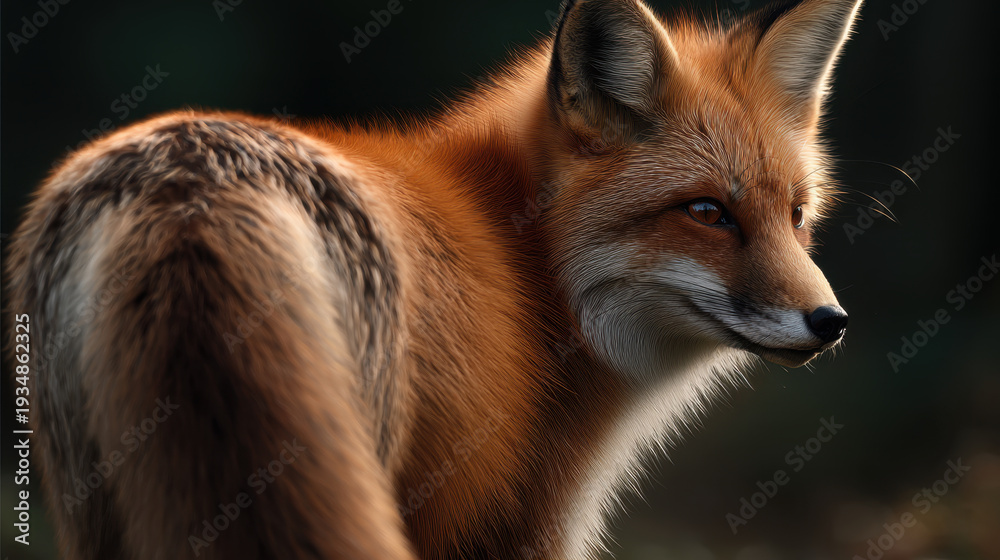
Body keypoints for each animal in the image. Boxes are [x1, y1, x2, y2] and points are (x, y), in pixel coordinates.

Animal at [7, 0, 859, 558]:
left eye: (796, 214)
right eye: (708, 211)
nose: (831, 320)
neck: (534, 268)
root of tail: (190, 185)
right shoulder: (520, 527)